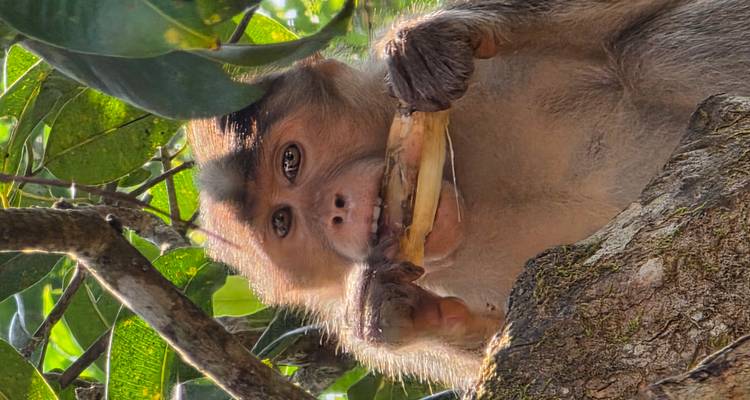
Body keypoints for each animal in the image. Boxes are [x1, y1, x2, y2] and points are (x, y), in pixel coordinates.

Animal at [189, 0, 750, 389]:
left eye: (291, 160)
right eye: (282, 222)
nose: (335, 210)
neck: (479, 196)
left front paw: (429, 41)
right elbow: (519, 351)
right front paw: (393, 311)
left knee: (645, 55)